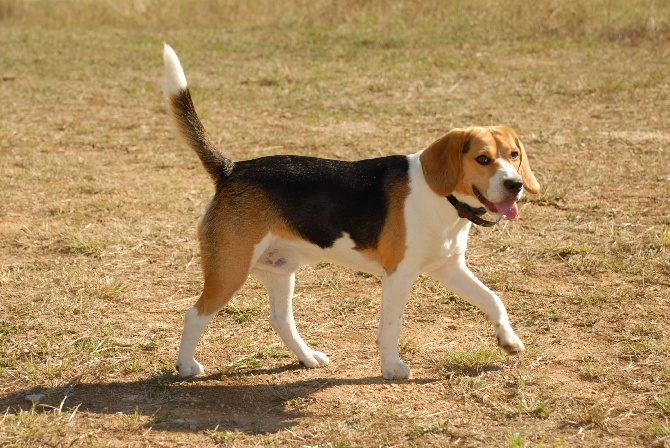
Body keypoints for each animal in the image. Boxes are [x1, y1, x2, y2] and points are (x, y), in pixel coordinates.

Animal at [165, 43, 544, 380]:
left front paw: (509, 341)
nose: (515, 184)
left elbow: (493, 300)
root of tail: (232, 169)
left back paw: (307, 357)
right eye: (482, 159)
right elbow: (391, 326)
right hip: (230, 270)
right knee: (194, 315)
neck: (444, 201)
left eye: (513, 155)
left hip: (280, 270)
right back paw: (186, 366)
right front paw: (392, 368)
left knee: (281, 320)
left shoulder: (449, 267)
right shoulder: (399, 274)